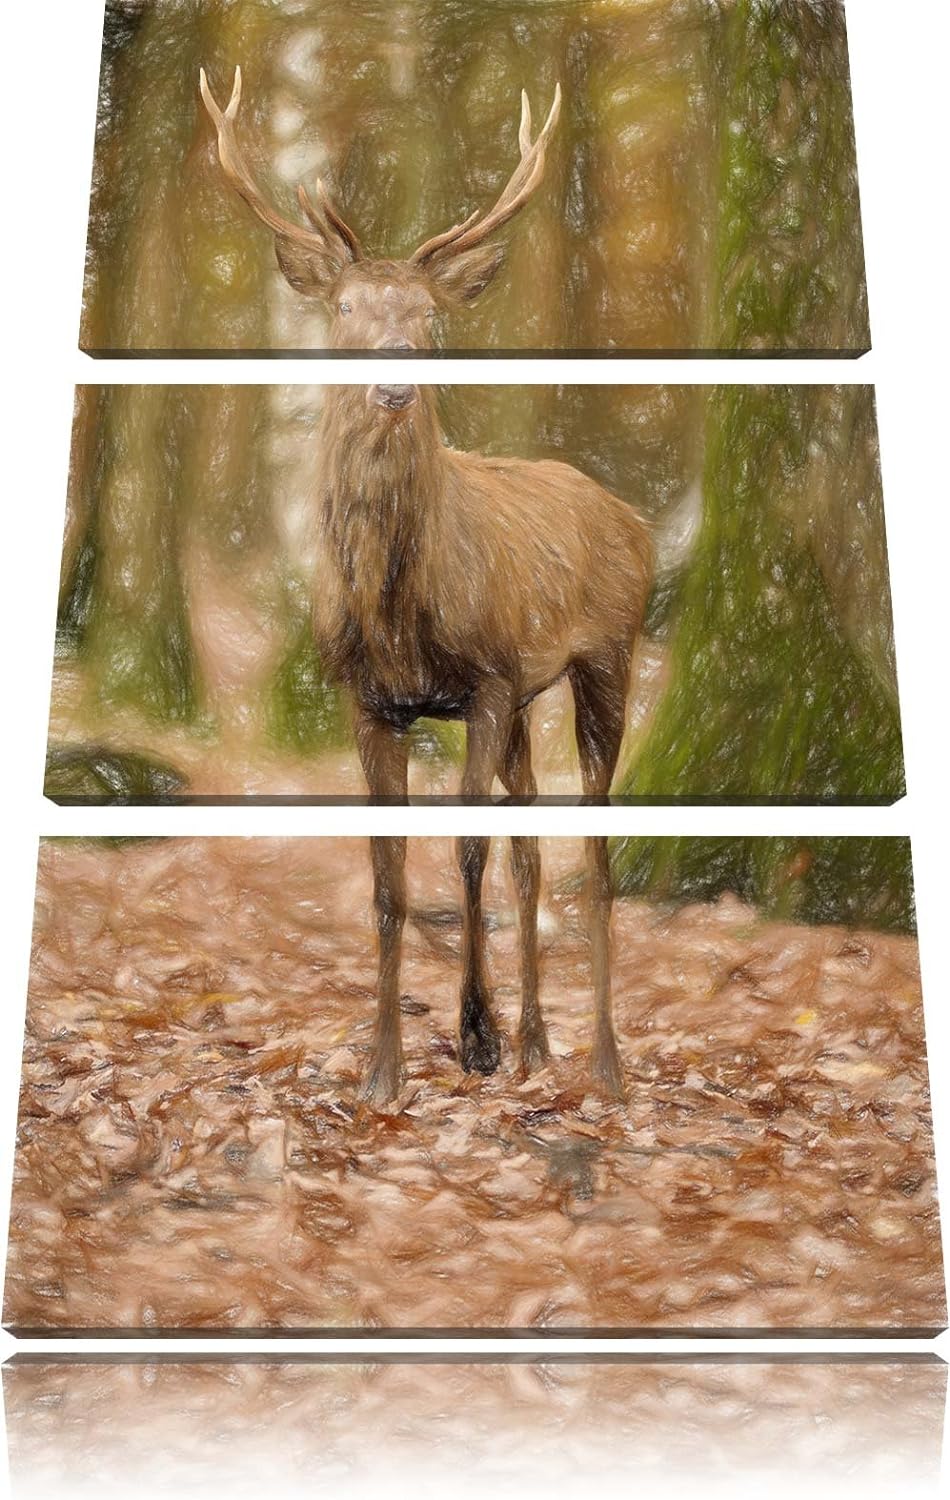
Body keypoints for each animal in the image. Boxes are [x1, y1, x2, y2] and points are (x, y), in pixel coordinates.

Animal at [200, 68, 654, 1106]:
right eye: (347, 311)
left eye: (427, 316)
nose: (397, 380)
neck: (399, 611)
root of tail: (635, 518)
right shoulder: (372, 699)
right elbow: (388, 874)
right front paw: (385, 1067)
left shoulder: (482, 680)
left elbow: (466, 850)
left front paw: (473, 1039)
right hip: (530, 696)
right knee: (535, 849)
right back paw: (540, 1045)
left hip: (607, 655)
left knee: (594, 849)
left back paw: (605, 1063)